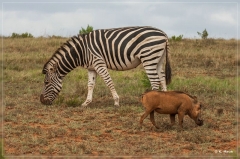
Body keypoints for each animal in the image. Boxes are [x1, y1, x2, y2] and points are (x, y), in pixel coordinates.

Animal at [41, 26, 172, 107]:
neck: (81, 52)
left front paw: (116, 102)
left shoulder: (99, 63)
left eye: (46, 83)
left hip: (148, 57)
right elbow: (90, 85)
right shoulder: (91, 67)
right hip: (158, 59)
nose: (41, 101)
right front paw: (86, 103)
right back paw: (164, 102)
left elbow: (109, 82)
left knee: (155, 81)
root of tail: (164, 34)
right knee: (162, 78)